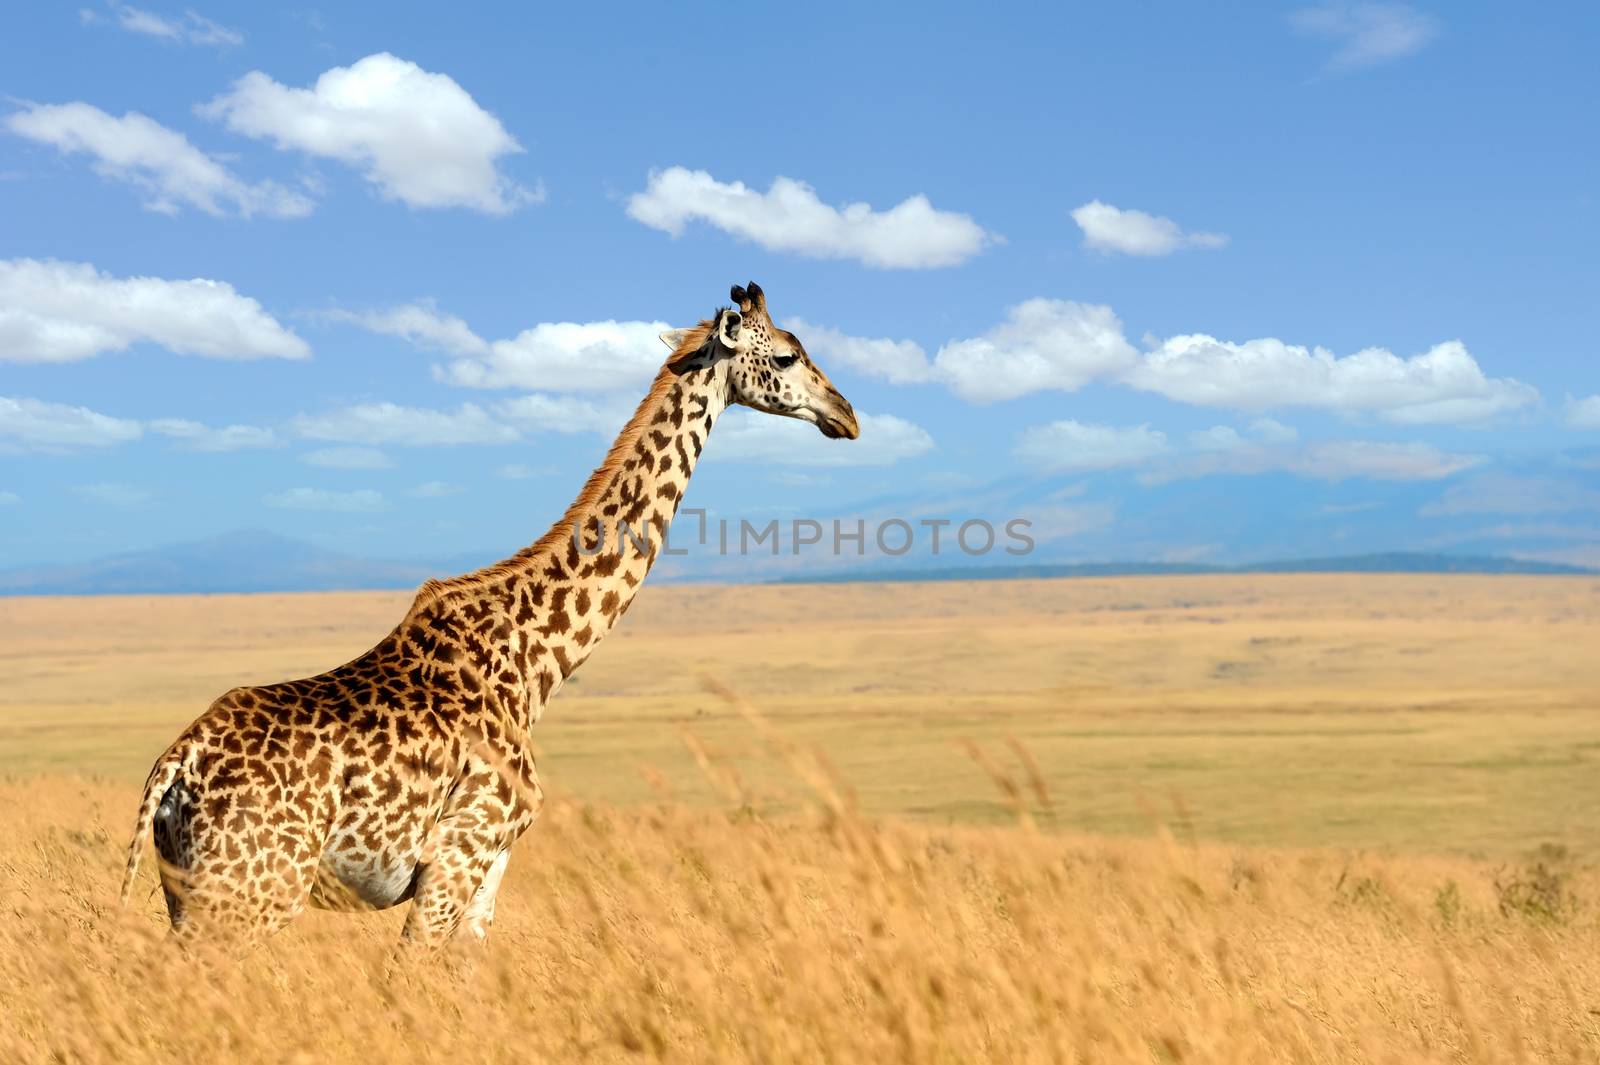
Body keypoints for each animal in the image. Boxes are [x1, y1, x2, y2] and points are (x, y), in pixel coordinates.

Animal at [116, 278, 857, 940]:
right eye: (786, 356)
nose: (846, 414)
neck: (537, 659)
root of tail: (174, 764)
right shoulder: (457, 853)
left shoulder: (490, 868)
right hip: (253, 893)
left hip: (193, 892)